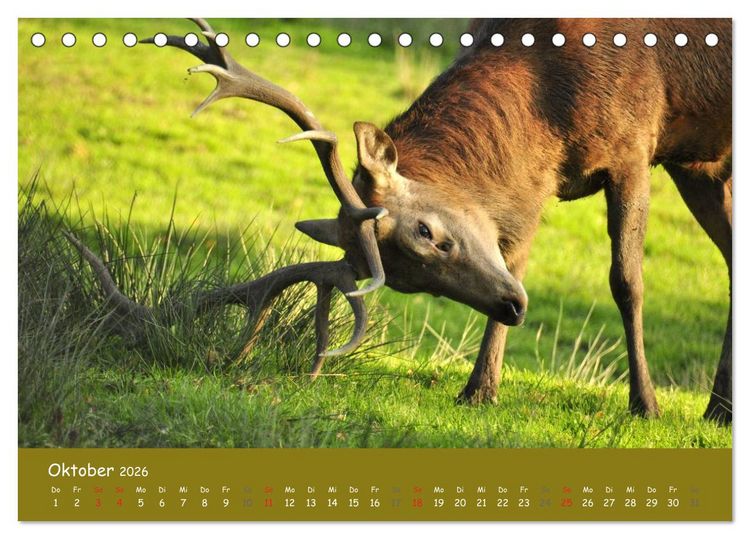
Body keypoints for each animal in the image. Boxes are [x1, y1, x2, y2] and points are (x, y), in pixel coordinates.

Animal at [66, 18, 732, 424]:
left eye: (426, 232)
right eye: (409, 282)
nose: (513, 306)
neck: (553, 108)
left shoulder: (635, 146)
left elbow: (626, 280)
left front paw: (645, 404)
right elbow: (517, 257)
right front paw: (479, 390)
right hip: (702, 165)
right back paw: (719, 407)